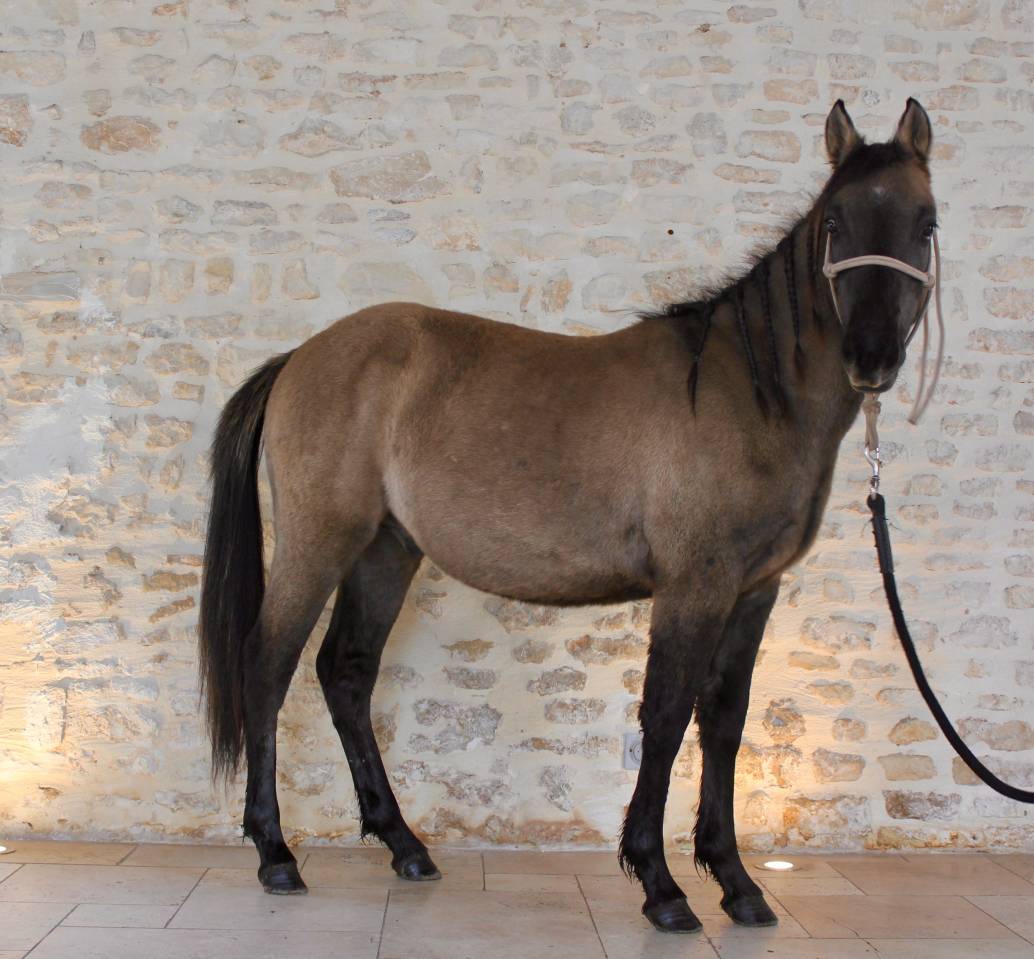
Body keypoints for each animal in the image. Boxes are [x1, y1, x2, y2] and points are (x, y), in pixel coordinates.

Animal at [199, 98, 937, 933]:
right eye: (836, 223)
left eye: (926, 224)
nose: (871, 356)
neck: (746, 390)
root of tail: (298, 358)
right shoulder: (695, 586)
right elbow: (666, 714)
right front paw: (661, 883)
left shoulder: (754, 591)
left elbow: (723, 719)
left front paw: (737, 881)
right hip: (319, 543)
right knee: (267, 666)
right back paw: (275, 851)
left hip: (386, 550)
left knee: (345, 673)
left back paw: (405, 845)